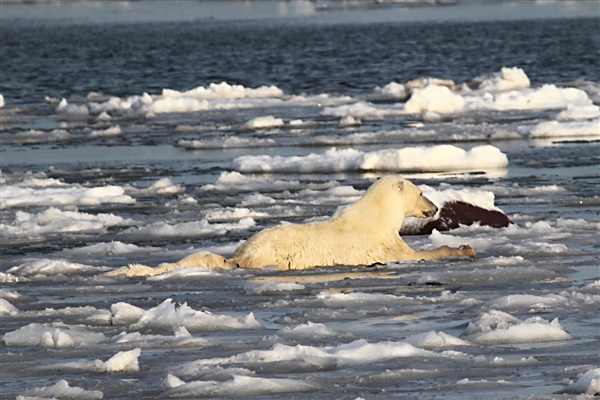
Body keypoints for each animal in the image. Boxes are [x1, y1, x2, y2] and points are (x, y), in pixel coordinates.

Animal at [106, 177, 474, 276]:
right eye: (421, 191)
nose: (434, 208)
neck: (378, 216)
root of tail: (240, 254)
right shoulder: (380, 242)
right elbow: (413, 255)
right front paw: (464, 249)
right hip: (273, 252)